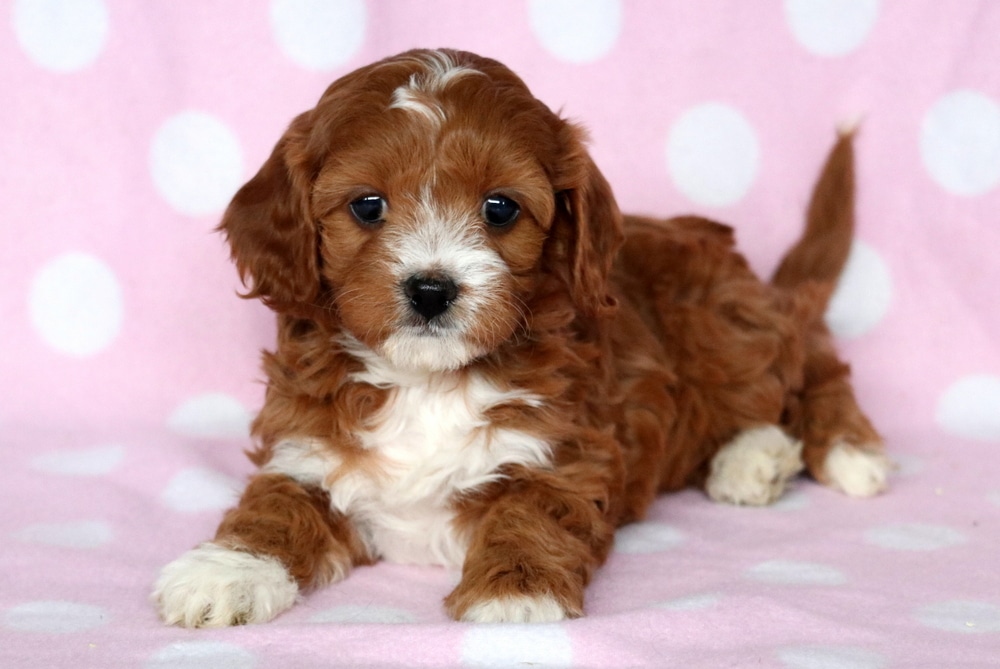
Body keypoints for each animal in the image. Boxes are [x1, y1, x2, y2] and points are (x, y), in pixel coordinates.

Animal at [153, 49, 892, 626]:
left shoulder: (565, 451)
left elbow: (532, 513)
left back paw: (834, 451)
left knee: (809, 366)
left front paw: (515, 595)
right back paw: (757, 458)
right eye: (367, 205)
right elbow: (276, 506)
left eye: (500, 208)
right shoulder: (307, 449)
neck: (425, 379)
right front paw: (224, 572)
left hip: (722, 323)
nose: (431, 289)